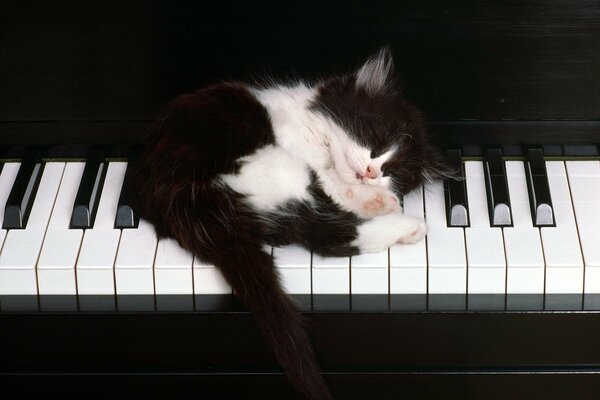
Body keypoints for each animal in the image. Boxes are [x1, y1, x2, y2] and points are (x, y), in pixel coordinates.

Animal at [130, 47, 450, 400]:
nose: (371, 172)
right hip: (269, 165)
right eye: (375, 139)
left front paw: (376, 193)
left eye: (393, 171)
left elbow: (333, 183)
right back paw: (402, 220)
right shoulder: (296, 141)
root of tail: (177, 202)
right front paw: (373, 196)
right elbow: (331, 180)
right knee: (324, 229)